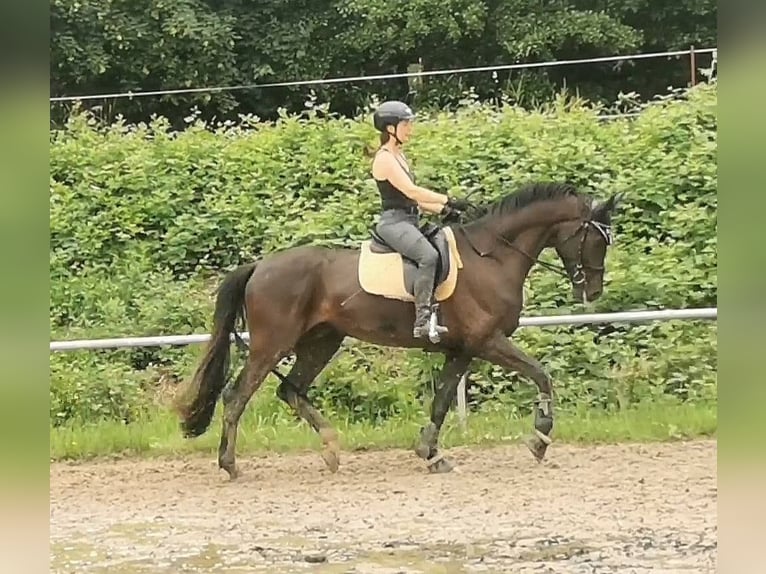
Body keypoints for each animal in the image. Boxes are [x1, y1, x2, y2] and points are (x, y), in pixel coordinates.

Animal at [175, 181, 622, 479]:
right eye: (596, 241)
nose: (593, 291)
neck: (492, 257)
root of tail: (259, 266)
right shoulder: (488, 342)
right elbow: (542, 375)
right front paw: (539, 441)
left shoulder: (462, 349)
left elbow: (441, 402)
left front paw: (431, 454)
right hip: (271, 345)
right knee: (237, 395)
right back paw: (230, 465)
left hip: (321, 342)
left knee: (291, 391)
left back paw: (332, 451)